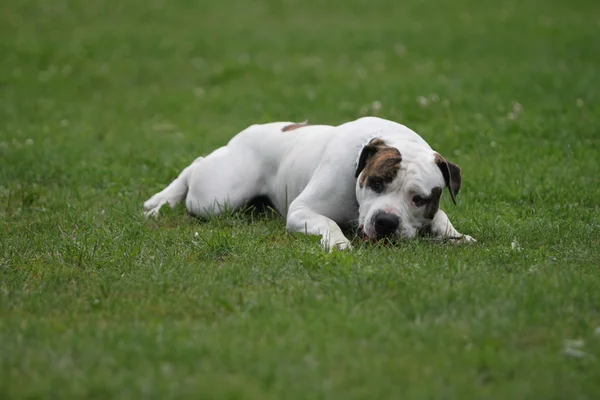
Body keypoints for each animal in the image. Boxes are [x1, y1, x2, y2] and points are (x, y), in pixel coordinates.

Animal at [144, 115, 474, 252]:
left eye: (419, 199)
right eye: (377, 183)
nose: (386, 221)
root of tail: (245, 132)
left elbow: (441, 216)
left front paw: (455, 235)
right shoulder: (302, 211)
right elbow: (328, 223)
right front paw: (339, 243)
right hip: (216, 197)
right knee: (196, 165)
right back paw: (161, 200)